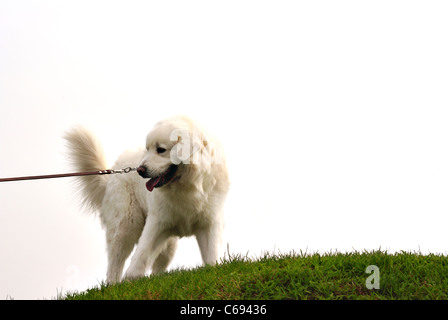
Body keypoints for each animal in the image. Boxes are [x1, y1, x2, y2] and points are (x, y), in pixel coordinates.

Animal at [65, 115, 229, 282]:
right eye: (148, 149)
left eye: (161, 150)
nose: (140, 170)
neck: (188, 186)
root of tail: (112, 173)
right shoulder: (157, 222)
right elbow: (142, 253)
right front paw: (131, 279)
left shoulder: (210, 223)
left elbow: (211, 255)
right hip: (126, 227)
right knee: (114, 264)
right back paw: (115, 284)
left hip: (168, 243)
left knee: (157, 264)